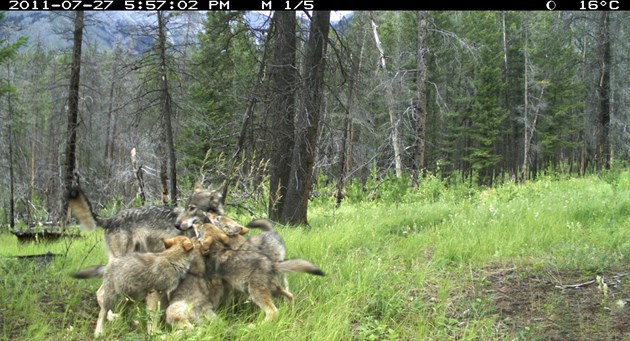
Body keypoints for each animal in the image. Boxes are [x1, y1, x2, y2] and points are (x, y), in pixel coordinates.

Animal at [198, 222, 326, 320]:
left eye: (201, 228)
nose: (197, 223)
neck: (217, 249)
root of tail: (273, 264)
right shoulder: (227, 287)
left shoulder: (216, 285)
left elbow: (212, 300)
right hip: (273, 290)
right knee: (290, 295)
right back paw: (291, 312)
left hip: (256, 293)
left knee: (273, 311)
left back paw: (257, 326)